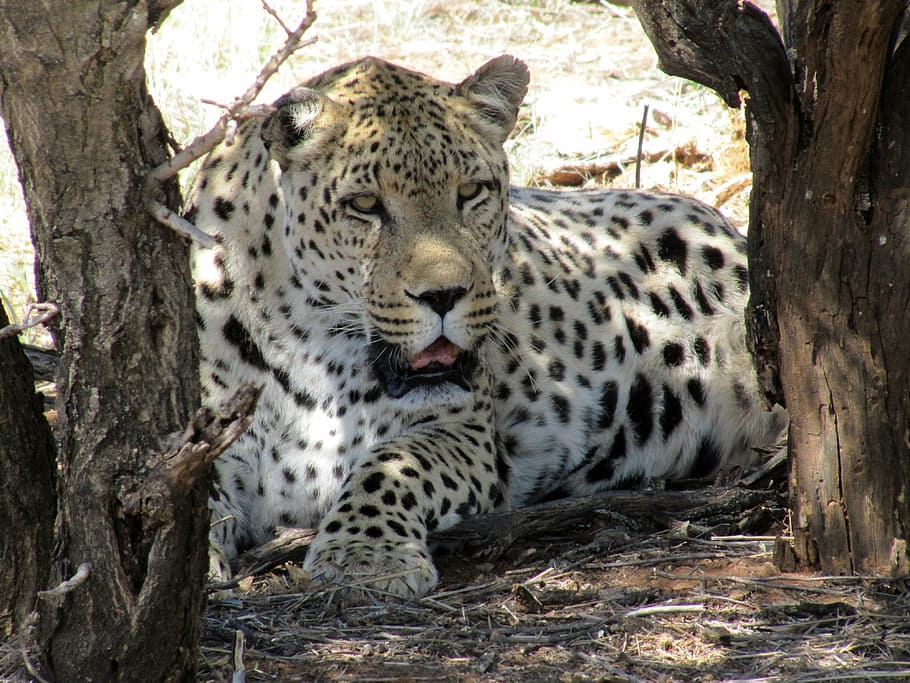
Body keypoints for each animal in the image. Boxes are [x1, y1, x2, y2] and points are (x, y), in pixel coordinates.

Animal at [190, 55, 787, 600]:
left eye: (471, 191)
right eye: (364, 204)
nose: (443, 295)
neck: (310, 349)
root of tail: (725, 223)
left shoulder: (465, 431)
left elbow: (390, 467)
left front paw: (366, 556)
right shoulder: (209, 436)